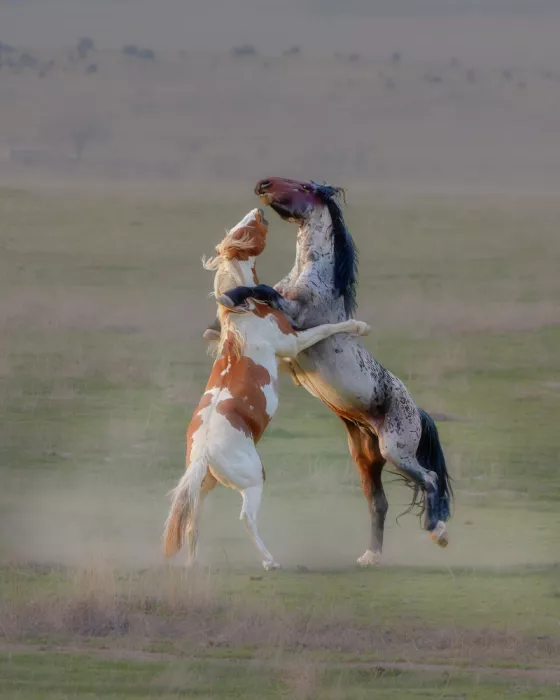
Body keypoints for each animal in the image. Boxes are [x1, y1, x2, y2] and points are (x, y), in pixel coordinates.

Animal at [163, 207, 371, 570]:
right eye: (244, 230)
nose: (259, 211)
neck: (240, 313)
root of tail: (203, 453)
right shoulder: (292, 343)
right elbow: (325, 328)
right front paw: (359, 325)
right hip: (253, 479)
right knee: (246, 518)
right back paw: (271, 561)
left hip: (204, 487)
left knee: (192, 522)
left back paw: (194, 565)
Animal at [208, 178, 453, 567]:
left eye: (303, 186)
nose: (263, 184)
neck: (310, 274)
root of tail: (418, 411)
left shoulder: (294, 318)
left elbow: (262, 290)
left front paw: (230, 296)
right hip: (366, 459)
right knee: (378, 503)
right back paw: (370, 556)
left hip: (397, 451)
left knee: (428, 478)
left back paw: (437, 531)